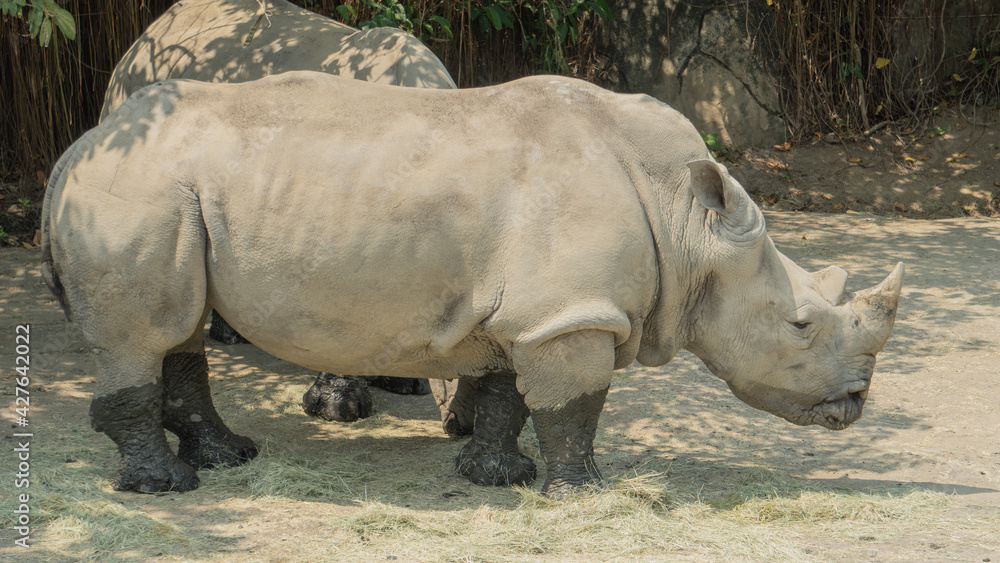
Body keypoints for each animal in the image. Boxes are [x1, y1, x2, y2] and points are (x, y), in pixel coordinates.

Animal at [41, 72, 903, 496]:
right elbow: (574, 406)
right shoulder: (568, 313)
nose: (857, 402)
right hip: (136, 191)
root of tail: (74, 148)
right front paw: (583, 493)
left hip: (168, 194)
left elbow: (505, 395)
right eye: (800, 324)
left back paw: (229, 458)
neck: (690, 222)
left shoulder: (527, 312)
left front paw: (499, 477)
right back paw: (166, 488)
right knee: (143, 336)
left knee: (181, 328)